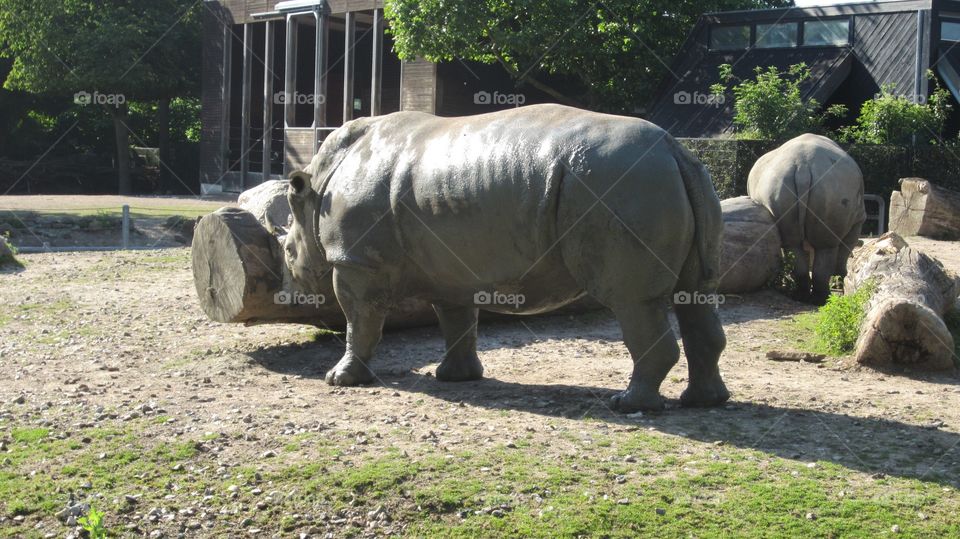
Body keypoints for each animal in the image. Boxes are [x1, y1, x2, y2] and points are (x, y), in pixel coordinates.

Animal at [282, 104, 729, 412]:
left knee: (633, 301)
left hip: (623, 185)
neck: (316, 191)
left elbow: (359, 319)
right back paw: (703, 402)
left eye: (288, 250)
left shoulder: (355, 261)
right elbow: (457, 320)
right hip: (677, 181)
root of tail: (674, 149)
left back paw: (628, 405)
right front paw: (455, 379)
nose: (295, 281)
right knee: (696, 294)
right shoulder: (449, 268)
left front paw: (339, 380)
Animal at [748, 134, 865, 305]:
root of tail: (802, 167)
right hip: (832, 187)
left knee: (792, 244)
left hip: (781, 186)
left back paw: (801, 297)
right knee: (826, 246)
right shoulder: (858, 220)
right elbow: (845, 250)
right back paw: (822, 299)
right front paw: (841, 280)